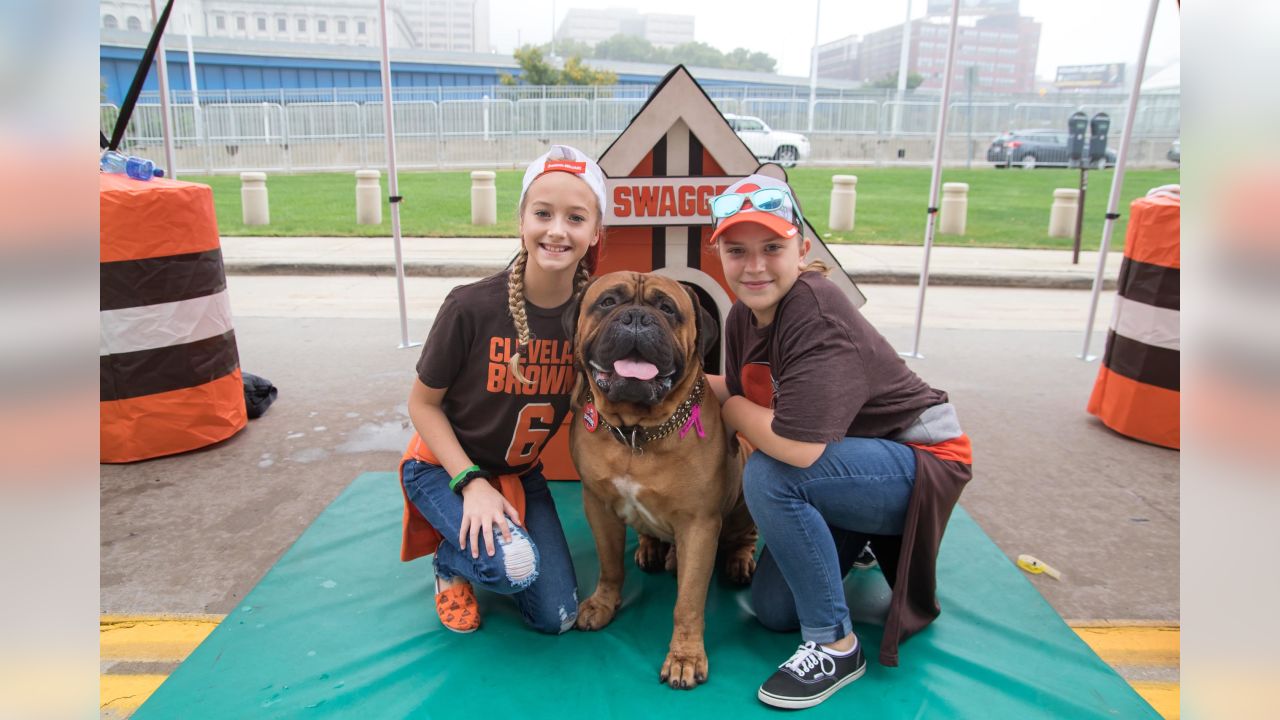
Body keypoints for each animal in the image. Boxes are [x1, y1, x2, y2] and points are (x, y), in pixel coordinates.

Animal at [563, 270, 757, 691]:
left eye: (667, 309)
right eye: (608, 302)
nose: (636, 318)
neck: (637, 432)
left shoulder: (699, 526)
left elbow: (688, 602)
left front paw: (685, 657)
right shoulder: (598, 506)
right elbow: (610, 565)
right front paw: (603, 604)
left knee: (743, 537)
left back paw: (737, 561)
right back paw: (652, 549)